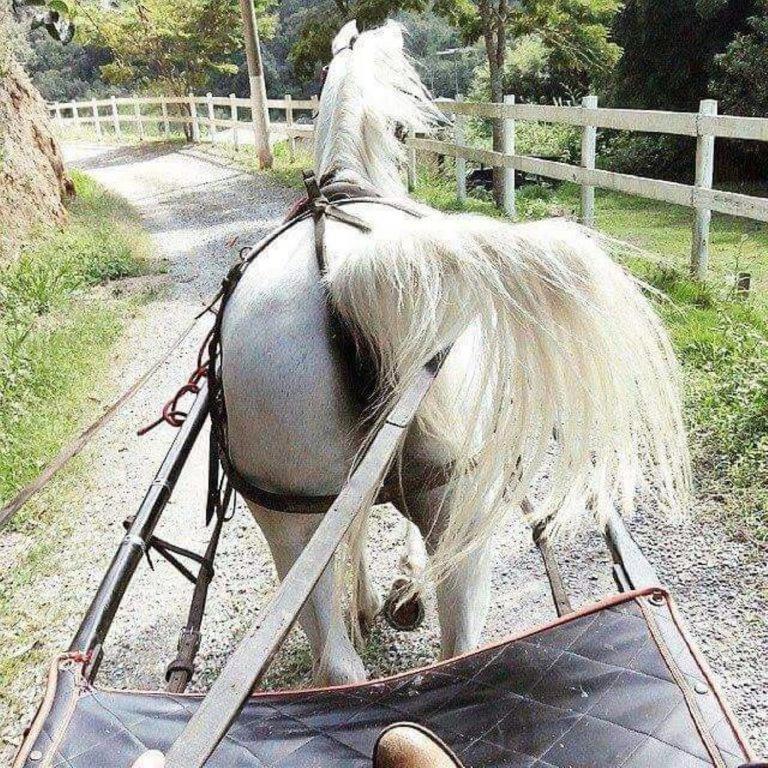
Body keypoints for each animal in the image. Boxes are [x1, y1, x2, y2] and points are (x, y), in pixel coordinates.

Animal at [220, 21, 688, 688]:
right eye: (403, 126)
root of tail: (343, 270)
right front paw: (396, 592)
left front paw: (379, 600)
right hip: (449, 502)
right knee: (457, 640)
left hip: (300, 521)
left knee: (348, 658)